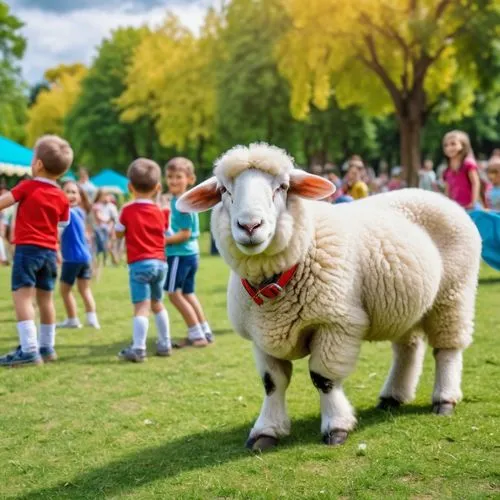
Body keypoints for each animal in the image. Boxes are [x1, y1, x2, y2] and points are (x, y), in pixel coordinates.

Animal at [176, 143, 480, 452]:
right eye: (224, 190)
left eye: (283, 186)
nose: (250, 226)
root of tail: (433, 195)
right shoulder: (261, 335)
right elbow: (272, 383)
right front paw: (266, 430)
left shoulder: (335, 324)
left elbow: (324, 379)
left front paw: (336, 426)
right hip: (406, 303)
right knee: (409, 348)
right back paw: (393, 396)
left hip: (453, 295)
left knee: (447, 350)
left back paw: (444, 399)